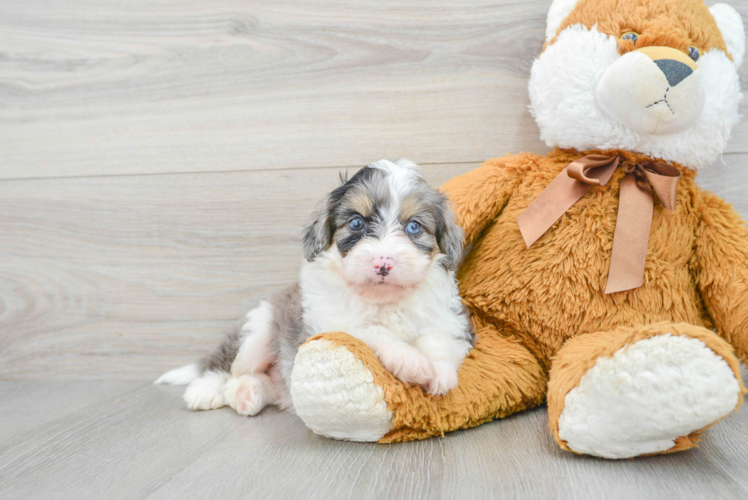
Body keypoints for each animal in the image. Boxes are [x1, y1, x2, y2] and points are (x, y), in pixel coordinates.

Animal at [157, 158, 474, 416]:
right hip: (258, 328)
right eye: (356, 223)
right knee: (226, 367)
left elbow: (437, 337)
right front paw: (411, 360)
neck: (381, 300)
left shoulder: (449, 319)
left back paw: (249, 394)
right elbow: (372, 330)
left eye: (414, 227)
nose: (382, 264)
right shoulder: (331, 323)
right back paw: (206, 390)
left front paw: (440, 370)